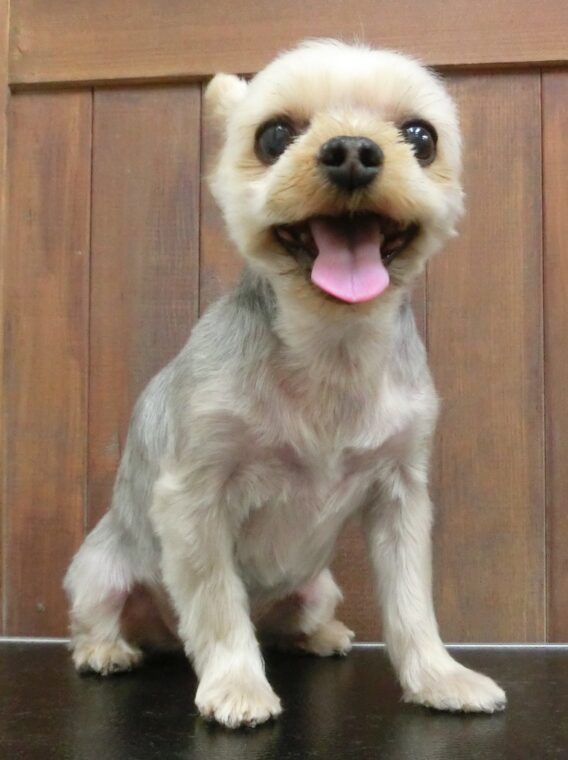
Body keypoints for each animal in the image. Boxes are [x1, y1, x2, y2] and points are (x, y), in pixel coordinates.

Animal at [64, 39, 506, 727]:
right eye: (273, 135)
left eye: (420, 136)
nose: (352, 150)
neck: (332, 347)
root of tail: (162, 636)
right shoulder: (193, 497)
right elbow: (218, 604)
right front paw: (238, 687)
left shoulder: (401, 492)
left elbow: (411, 601)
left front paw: (440, 677)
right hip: (98, 570)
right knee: (103, 614)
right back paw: (106, 649)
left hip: (319, 585)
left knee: (289, 621)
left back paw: (320, 635)